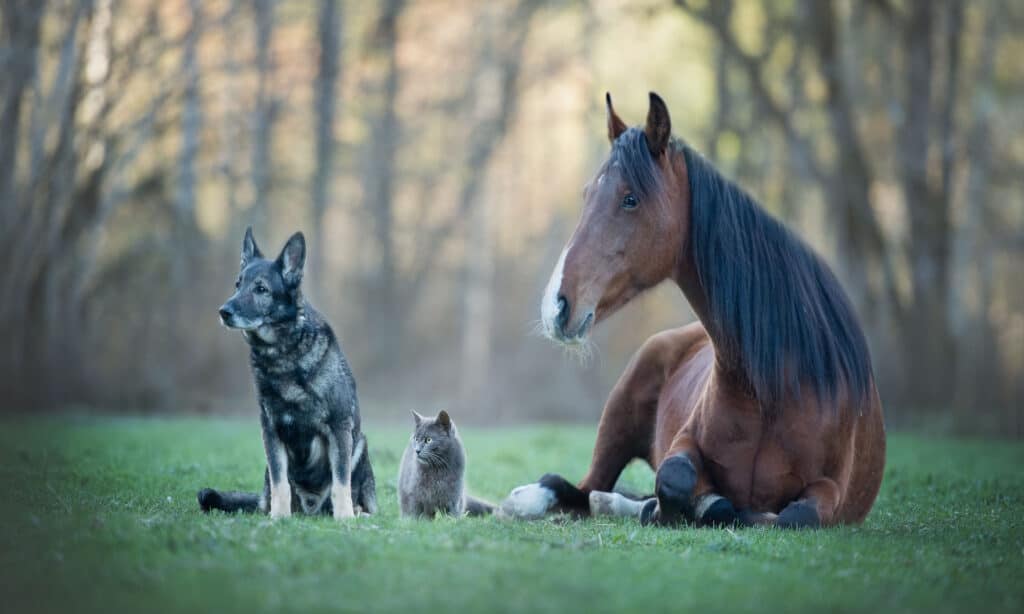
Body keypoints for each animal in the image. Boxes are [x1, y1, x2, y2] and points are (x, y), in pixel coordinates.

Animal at [503, 91, 888, 528]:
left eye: (630, 199)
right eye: (587, 195)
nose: (556, 305)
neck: (775, 386)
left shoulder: (832, 489)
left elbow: (793, 516)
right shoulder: (684, 445)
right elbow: (678, 480)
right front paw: (683, 505)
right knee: (583, 490)